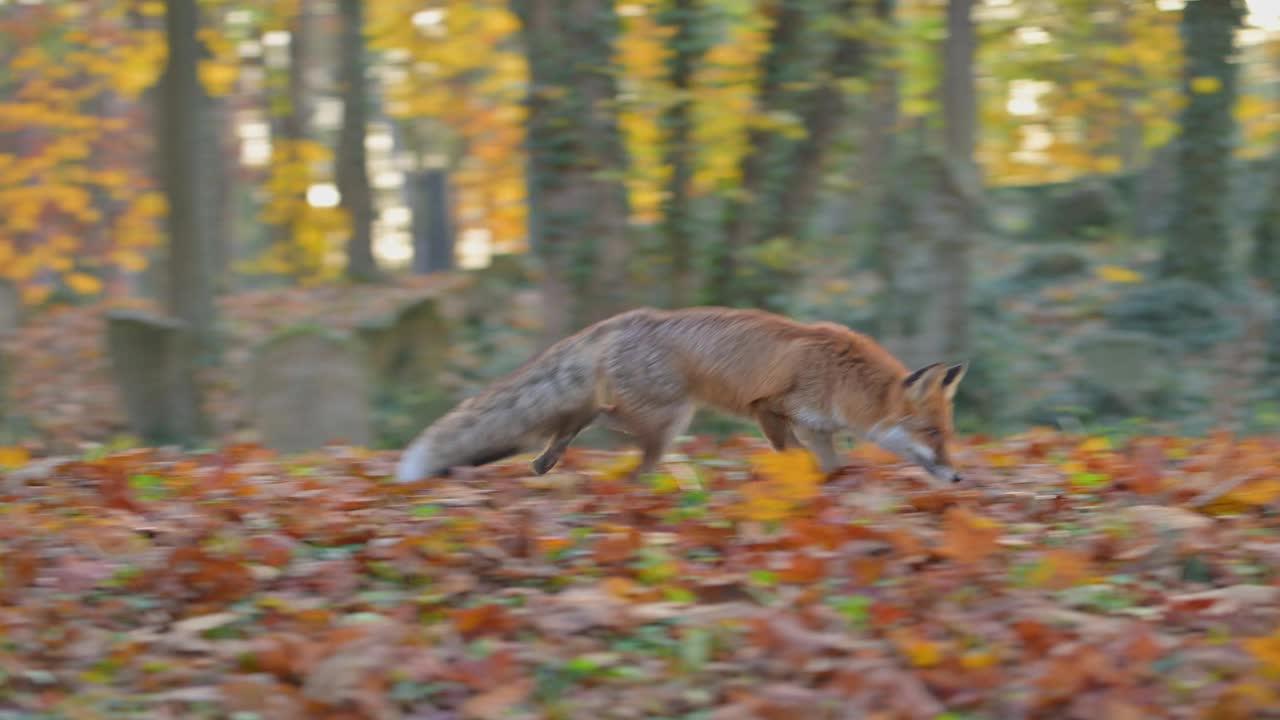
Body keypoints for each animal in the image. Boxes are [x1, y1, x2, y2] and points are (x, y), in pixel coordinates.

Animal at [394, 304, 962, 484]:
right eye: (931, 433)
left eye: (948, 435)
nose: (958, 476)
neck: (843, 379)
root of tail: (627, 318)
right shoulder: (770, 408)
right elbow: (792, 456)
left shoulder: (818, 427)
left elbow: (830, 467)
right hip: (669, 420)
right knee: (610, 436)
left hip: (654, 414)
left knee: (582, 415)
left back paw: (547, 459)